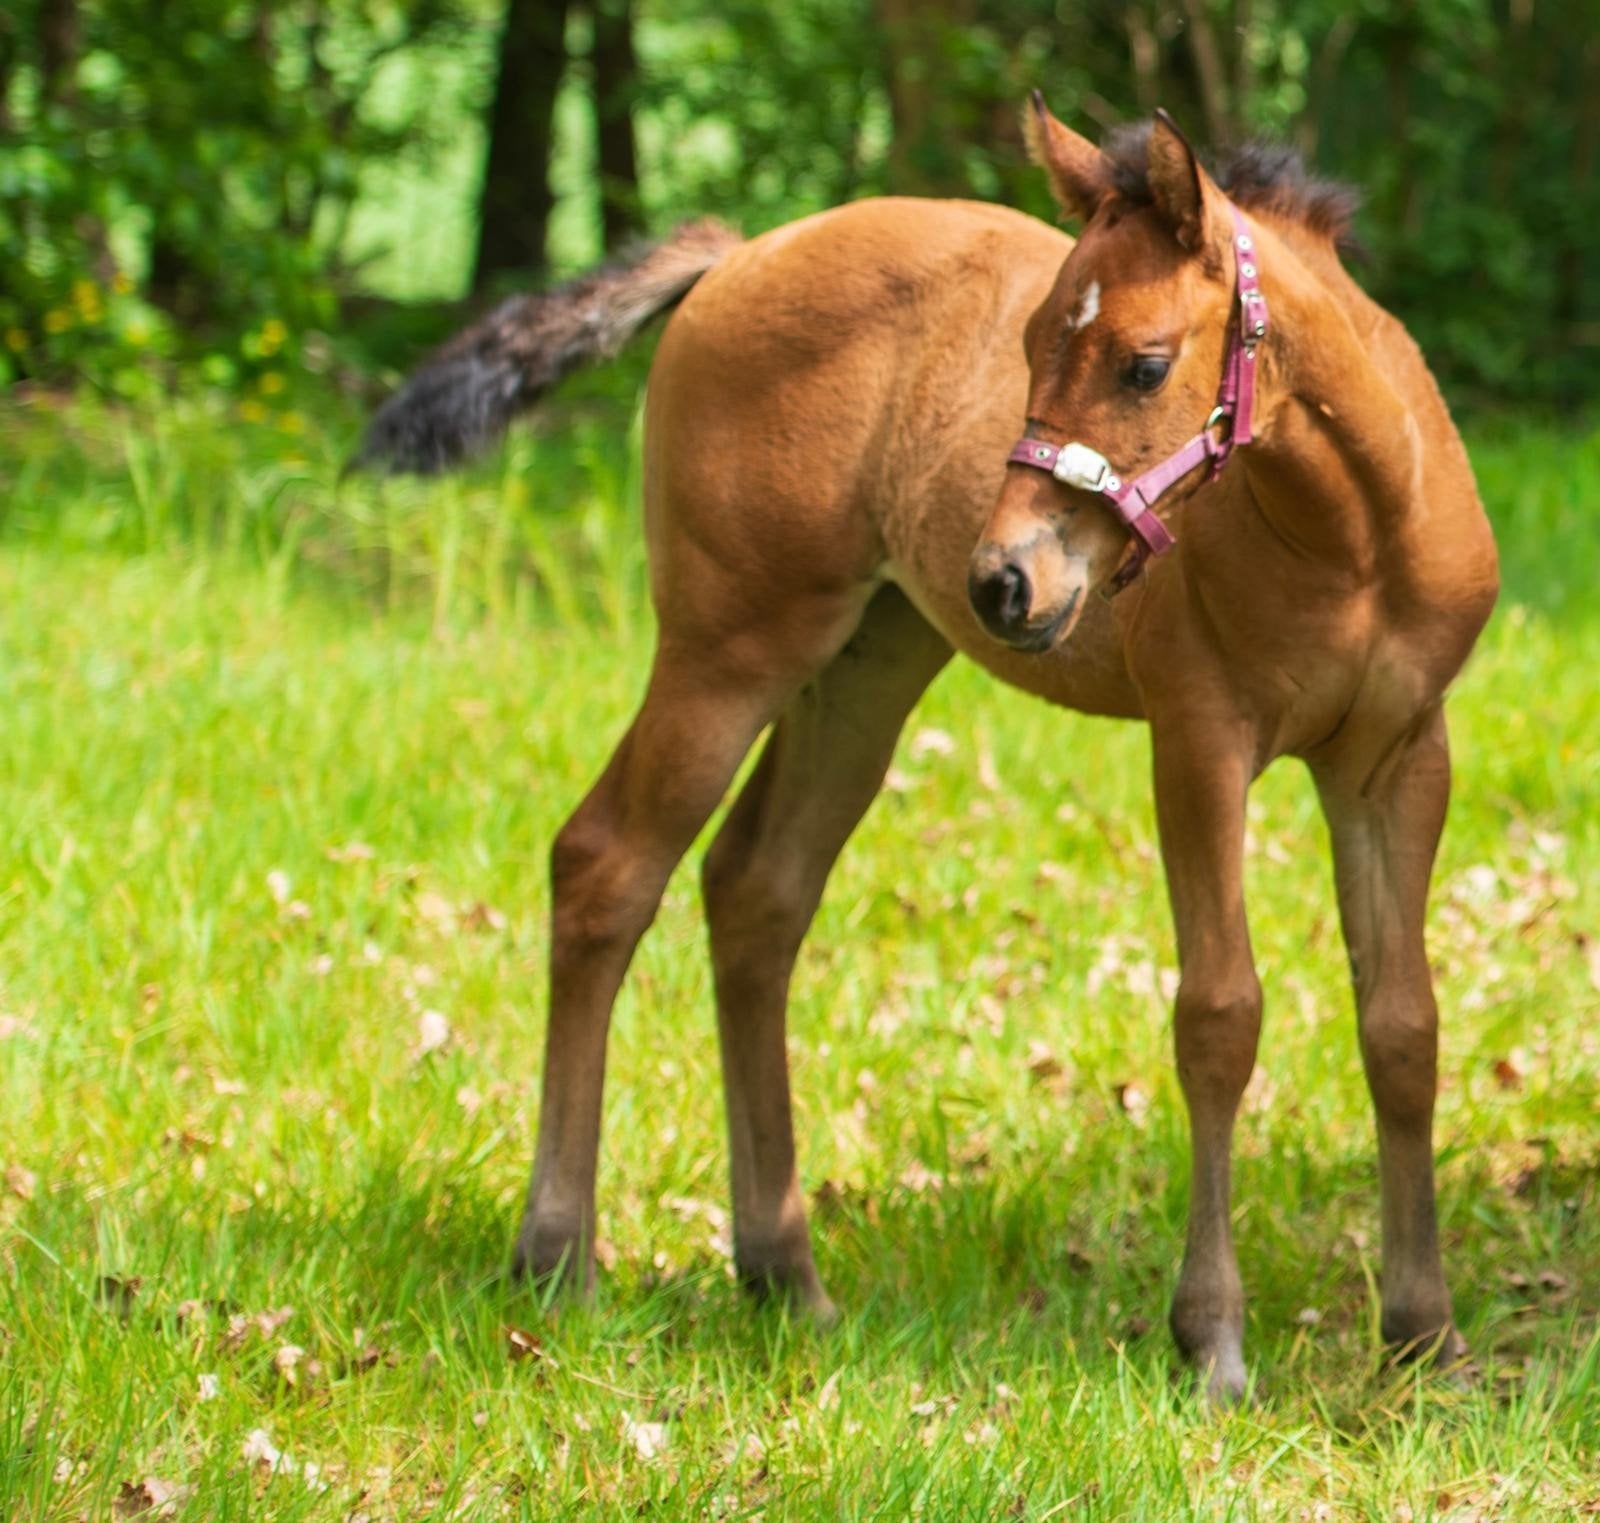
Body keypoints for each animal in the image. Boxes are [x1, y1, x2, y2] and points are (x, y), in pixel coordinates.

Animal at [361, 101, 1498, 1403]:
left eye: (1142, 362)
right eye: (1029, 343)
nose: (1004, 578)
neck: (1352, 535)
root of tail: (736, 255)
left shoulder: (1397, 755)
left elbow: (1403, 1025)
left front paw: (1426, 1336)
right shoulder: (1199, 739)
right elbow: (1219, 1014)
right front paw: (1211, 1339)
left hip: (865, 660)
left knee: (756, 889)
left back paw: (782, 1274)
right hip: (728, 644)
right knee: (606, 862)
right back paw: (555, 1254)